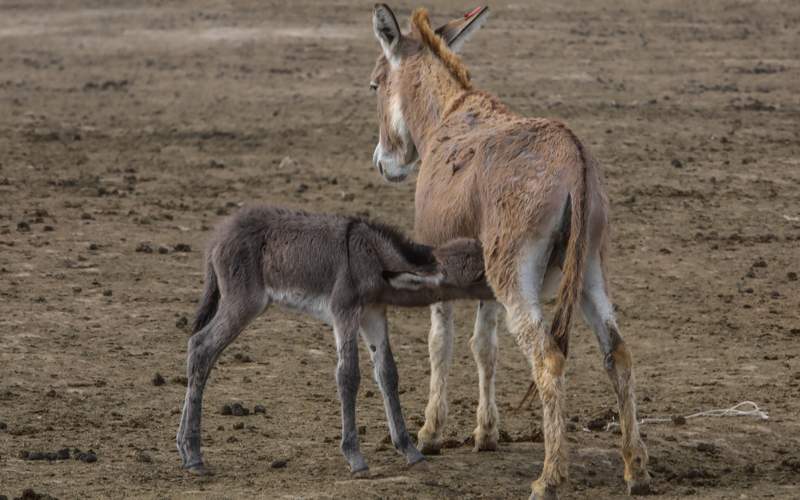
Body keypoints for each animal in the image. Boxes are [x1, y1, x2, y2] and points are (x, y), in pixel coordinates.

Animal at [177, 205, 490, 474]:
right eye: (478, 274)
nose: (499, 289)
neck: (372, 254)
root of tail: (219, 236)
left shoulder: (373, 314)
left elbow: (388, 373)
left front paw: (409, 450)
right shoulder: (345, 313)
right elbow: (348, 375)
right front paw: (355, 457)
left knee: (202, 351)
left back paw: (184, 448)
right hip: (244, 302)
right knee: (201, 347)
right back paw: (194, 455)